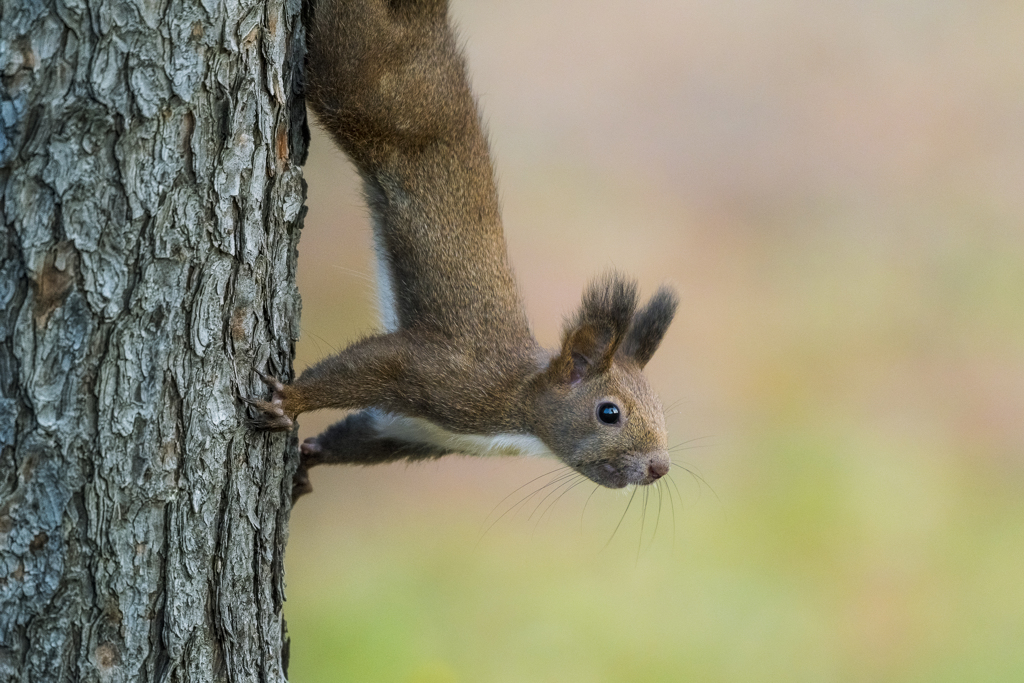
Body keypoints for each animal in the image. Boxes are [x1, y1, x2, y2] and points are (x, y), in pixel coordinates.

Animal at [249, 0, 679, 499]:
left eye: (662, 410)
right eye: (609, 413)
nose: (659, 467)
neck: (519, 412)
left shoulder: (412, 432)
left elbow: (359, 437)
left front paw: (309, 458)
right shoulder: (447, 375)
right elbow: (370, 365)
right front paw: (289, 402)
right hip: (353, 73)